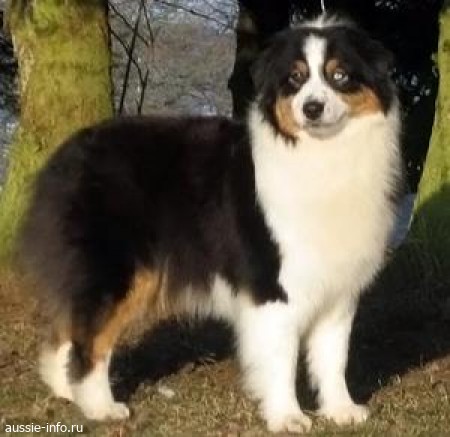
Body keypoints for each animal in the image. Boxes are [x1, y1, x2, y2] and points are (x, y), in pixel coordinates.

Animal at [19, 14, 402, 434]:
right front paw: (286, 416)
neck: (323, 153)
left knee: (67, 333)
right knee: (90, 340)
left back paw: (67, 392)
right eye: (295, 79)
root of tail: (62, 159)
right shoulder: (273, 284)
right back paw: (101, 407)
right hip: (117, 271)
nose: (312, 108)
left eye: (340, 75)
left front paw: (341, 410)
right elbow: (281, 359)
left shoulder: (339, 285)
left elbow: (334, 356)